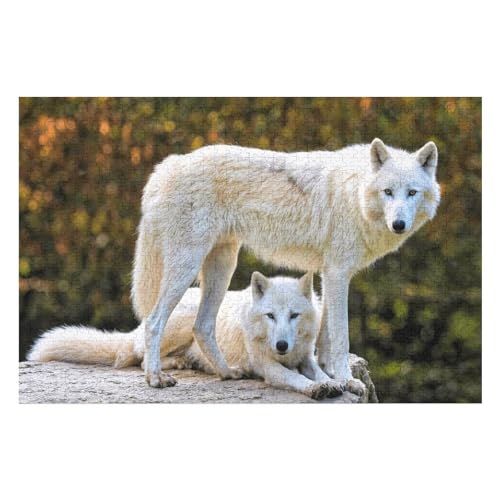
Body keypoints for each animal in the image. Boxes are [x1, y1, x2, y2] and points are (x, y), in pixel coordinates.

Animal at [29, 272, 342, 400]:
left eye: (294, 315)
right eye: (271, 316)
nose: (281, 345)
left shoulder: (306, 357)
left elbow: (320, 372)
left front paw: (338, 384)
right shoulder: (268, 367)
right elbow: (296, 378)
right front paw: (316, 389)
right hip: (184, 322)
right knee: (142, 359)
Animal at [134, 139, 442, 392]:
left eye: (412, 193)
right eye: (388, 192)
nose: (399, 224)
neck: (355, 195)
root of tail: (168, 165)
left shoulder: (329, 274)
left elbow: (325, 338)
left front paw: (330, 376)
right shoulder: (338, 274)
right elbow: (341, 337)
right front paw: (347, 379)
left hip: (222, 267)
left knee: (202, 326)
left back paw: (228, 373)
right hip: (186, 268)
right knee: (153, 320)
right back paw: (155, 378)